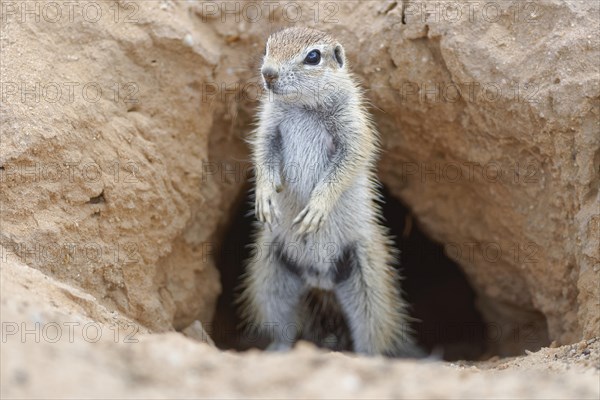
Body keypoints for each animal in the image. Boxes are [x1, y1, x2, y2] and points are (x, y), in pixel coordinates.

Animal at [237, 26, 420, 356]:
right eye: (267, 47)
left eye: (313, 57)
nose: (268, 73)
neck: (303, 106)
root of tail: (319, 279)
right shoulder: (268, 126)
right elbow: (262, 154)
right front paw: (265, 196)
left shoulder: (353, 129)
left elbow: (345, 166)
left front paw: (316, 207)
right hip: (270, 272)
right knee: (280, 322)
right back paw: (278, 349)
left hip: (368, 278)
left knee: (372, 329)